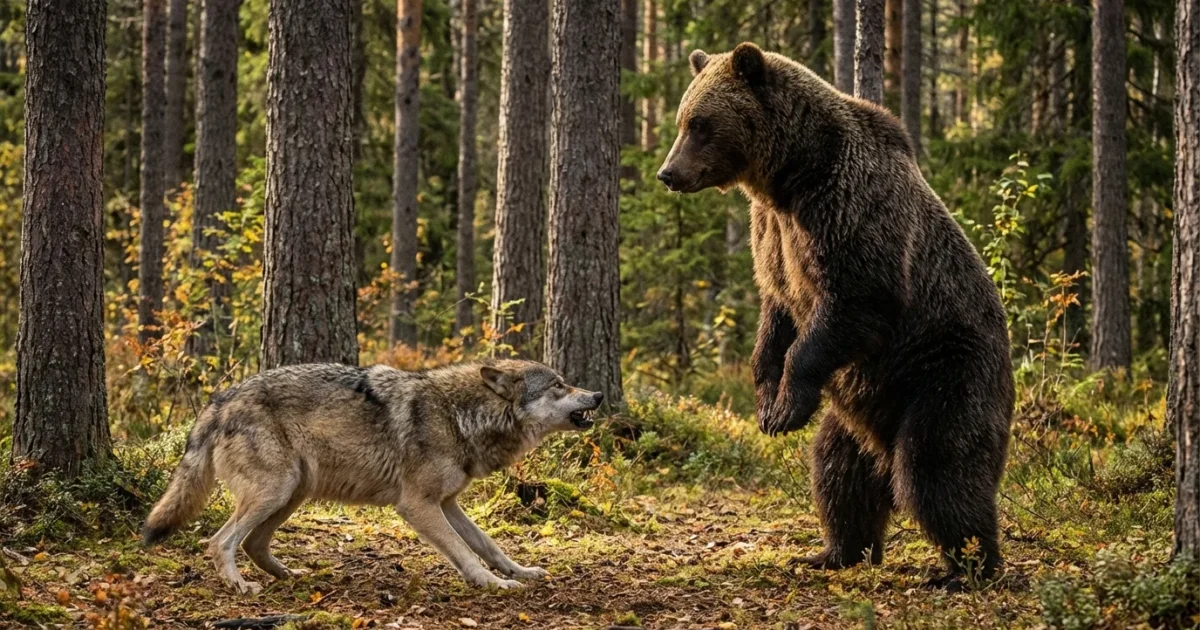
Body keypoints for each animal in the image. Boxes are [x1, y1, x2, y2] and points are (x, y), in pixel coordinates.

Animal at [142, 360, 604, 594]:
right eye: (560, 385)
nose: (598, 394)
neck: (459, 414)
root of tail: (219, 400)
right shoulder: (416, 506)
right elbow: (464, 553)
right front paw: (491, 584)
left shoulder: (449, 503)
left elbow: (489, 544)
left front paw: (519, 573)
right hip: (275, 492)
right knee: (219, 542)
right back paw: (241, 586)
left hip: (292, 493)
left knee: (254, 543)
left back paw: (291, 577)